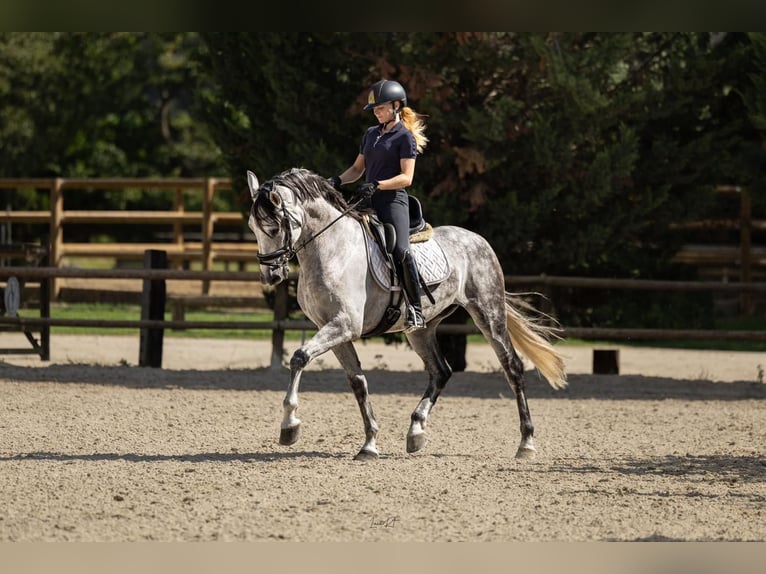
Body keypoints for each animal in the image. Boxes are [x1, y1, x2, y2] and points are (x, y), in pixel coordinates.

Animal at [249, 168, 568, 464]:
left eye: (274, 227)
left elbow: (299, 357)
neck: (332, 250)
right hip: (422, 329)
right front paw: (369, 444)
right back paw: (416, 431)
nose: (270, 275)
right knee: (441, 371)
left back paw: (526, 442)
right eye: (253, 227)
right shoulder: (333, 329)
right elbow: (358, 382)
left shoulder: (344, 325)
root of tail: (477, 239)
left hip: (487, 313)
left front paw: (290, 426)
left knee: (512, 367)